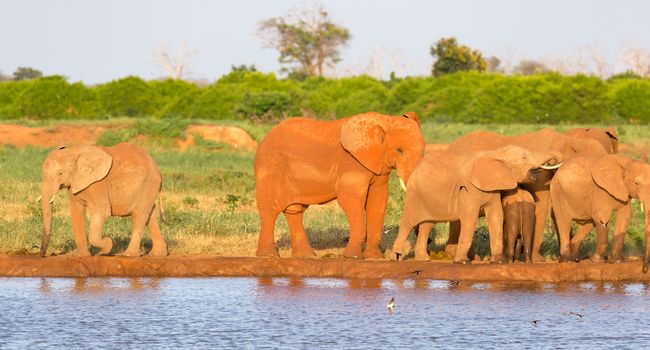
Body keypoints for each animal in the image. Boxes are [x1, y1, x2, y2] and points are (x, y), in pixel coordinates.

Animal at [39, 142, 167, 258]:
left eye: (60, 173)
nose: (43, 255)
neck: (73, 152)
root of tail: (158, 169)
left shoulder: (98, 184)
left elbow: (100, 213)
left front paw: (107, 247)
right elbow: (76, 212)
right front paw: (81, 256)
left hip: (148, 185)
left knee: (139, 216)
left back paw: (129, 255)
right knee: (150, 216)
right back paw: (158, 254)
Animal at [253, 110, 426, 258]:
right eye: (399, 150)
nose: (429, 241)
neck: (384, 120)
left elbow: (378, 201)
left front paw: (375, 257)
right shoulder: (351, 162)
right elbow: (350, 200)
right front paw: (353, 257)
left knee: (294, 210)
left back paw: (306, 256)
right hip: (270, 168)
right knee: (270, 210)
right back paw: (268, 256)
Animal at [388, 144, 560, 262]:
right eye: (524, 158)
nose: (555, 159)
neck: (494, 153)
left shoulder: (492, 189)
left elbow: (496, 216)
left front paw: (498, 261)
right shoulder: (469, 189)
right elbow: (469, 219)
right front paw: (463, 262)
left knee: (427, 224)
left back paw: (423, 259)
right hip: (414, 194)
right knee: (408, 222)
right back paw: (395, 258)